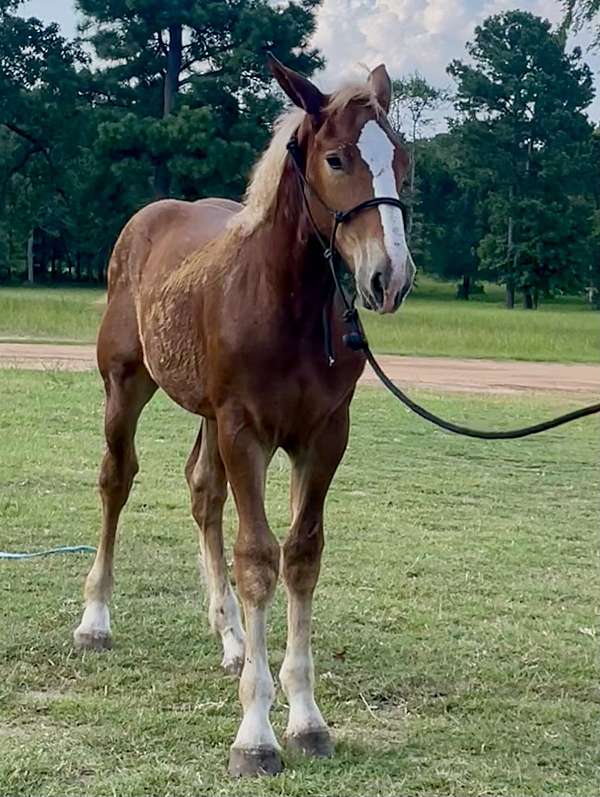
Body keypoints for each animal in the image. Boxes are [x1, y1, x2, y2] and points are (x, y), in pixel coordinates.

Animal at [74, 57, 412, 776]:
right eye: (336, 158)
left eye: (403, 160)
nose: (389, 278)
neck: (288, 305)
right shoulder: (244, 430)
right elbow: (257, 557)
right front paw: (255, 734)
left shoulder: (324, 435)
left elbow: (302, 555)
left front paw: (307, 719)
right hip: (125, 386)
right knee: (117, 480)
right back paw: (95, 620)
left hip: (205, 414)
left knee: (203, 493)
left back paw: (229, 638)